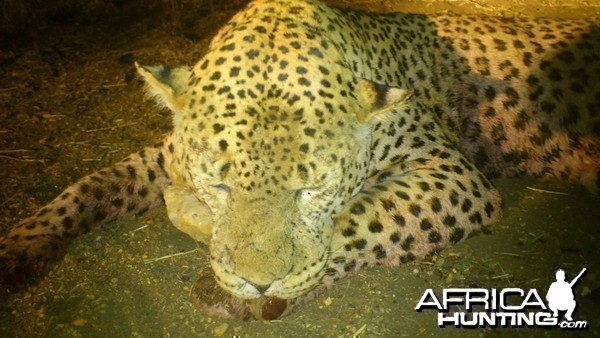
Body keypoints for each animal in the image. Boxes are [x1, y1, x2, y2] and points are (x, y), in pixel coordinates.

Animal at [1, 0, 600, 320]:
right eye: (221, 185)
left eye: (311, 189)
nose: (257, 284)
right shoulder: (169, 156)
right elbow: (94, 182)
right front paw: (22, 244)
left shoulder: (449, 172)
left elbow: (359, 218)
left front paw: (233, 285)